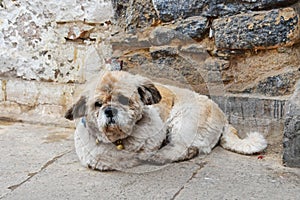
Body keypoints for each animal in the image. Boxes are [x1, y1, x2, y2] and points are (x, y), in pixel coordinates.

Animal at [65, 70, 268, 170]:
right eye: (97, 104)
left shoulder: (156, 134)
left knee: (184, 148)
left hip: (182, 120)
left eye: (123, 99)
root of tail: (223, 116)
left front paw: (143, 156)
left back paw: (161, 156)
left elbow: (141, 152)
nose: (109, 110)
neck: (121, 140)